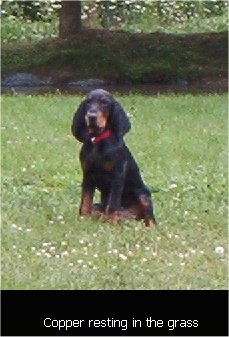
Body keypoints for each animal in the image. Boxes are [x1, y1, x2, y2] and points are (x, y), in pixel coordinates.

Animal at [71, 88, 157, 227]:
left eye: (104, 103)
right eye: (88, 102)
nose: (91, 116)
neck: (98, 140)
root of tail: (132, 216)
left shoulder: (117, 176)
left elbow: (112, 203)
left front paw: (111, 222)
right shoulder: (87, 175)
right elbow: (86, 201)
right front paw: (83, 219)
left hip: (143, 195)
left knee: (150, 218)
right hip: (98, 206)